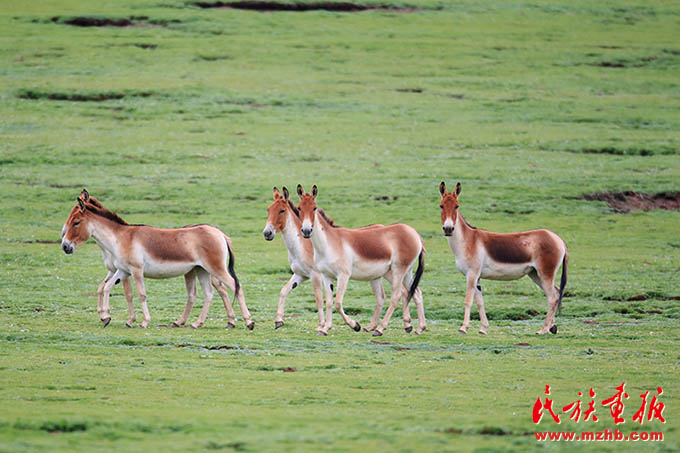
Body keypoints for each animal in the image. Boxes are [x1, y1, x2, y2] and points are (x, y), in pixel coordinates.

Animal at [61, 189, 253, 330]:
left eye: (76, 222)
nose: (65, 246)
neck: (121, 238)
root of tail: (219, 232)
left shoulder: (136, 271)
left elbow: (140, 294)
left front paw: (143, 322)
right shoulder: (122, 271)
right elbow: (106, 288)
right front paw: (106, 317)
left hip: (215, 269)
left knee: (235, 286)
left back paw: (249, 322)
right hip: (201, 270)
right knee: (209, 293)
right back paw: (197, 323)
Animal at [262, 186, 403, 334]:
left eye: (282, 210)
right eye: (268, 210)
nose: (267, 233)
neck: (302, 245)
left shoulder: (316, 275)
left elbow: (319, 299)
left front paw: (322, 325)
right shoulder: (300, 275)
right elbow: (283, 291)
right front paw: (278, 321)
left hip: (391, 272)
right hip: (378, 274)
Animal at [296, 184, 426, 336]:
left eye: (314, 208)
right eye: (299, 208)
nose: (306, 231)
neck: (329, 243)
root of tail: (414, 233)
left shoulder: (343, 275)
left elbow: (338, 303)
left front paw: (355, 325)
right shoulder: (326, 276)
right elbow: (329, 302)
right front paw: (325, 328)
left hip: (398, 270)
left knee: (397, 296)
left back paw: (380, 329)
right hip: (407, 272)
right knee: (416, 293)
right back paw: (419, 328)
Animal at [438, 181, 568, 335]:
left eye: (457, 206)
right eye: (441, 206)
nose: (448, 229)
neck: (467, 240)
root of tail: (558, 239)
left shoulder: (471, 274)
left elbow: (468, 300)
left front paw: (463, 328)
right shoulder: (477, 277)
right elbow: (480, 302)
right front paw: (483, 328)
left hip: (545, 273)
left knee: (552, 297)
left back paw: (543, 330)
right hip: (535, 274)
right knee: (556, 293)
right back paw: (552, 327)